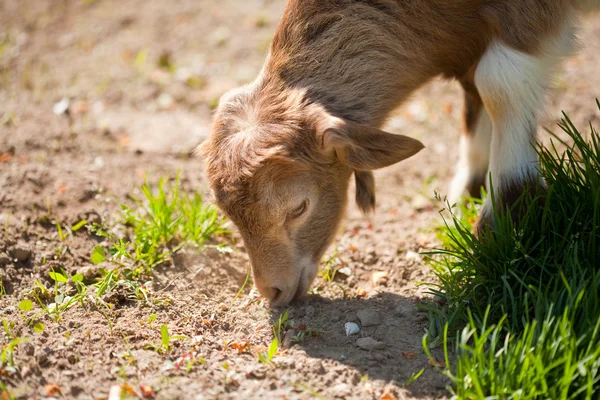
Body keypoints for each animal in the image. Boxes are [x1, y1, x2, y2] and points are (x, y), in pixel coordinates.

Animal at [202, 0, 600, 306]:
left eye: (299, 207)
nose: (273, 291)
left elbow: (498, 83)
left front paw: (505, 222)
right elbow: (473, 86)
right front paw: (468, 194)